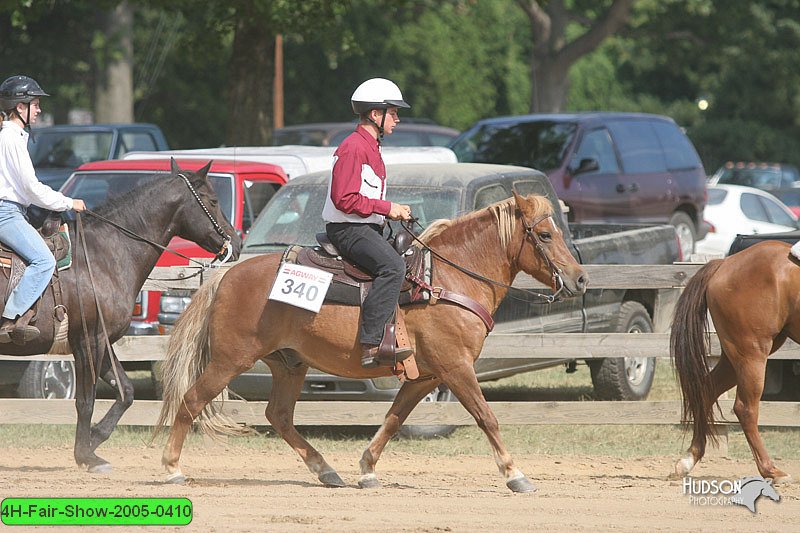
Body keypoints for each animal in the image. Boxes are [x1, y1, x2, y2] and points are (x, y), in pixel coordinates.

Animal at [155, 190, 588, 490]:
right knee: (191, 400)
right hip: (230, 360)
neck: (444, 280)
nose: (581, 279)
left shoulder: (426, 376)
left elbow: (394, 419)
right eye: (544, 234)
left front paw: (366, 469)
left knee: (279, 415)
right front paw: (516, 474)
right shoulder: (456, 368)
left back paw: (326, 470)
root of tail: (225, 276)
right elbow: (487, 417)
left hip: (289, 363)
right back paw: (172, 468)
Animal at [672, 241, 796, 482]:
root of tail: (724, 264)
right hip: (752, 352)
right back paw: (771, 470)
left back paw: (688, 459)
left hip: (735, 357)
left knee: (706, 391)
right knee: (745, 409)